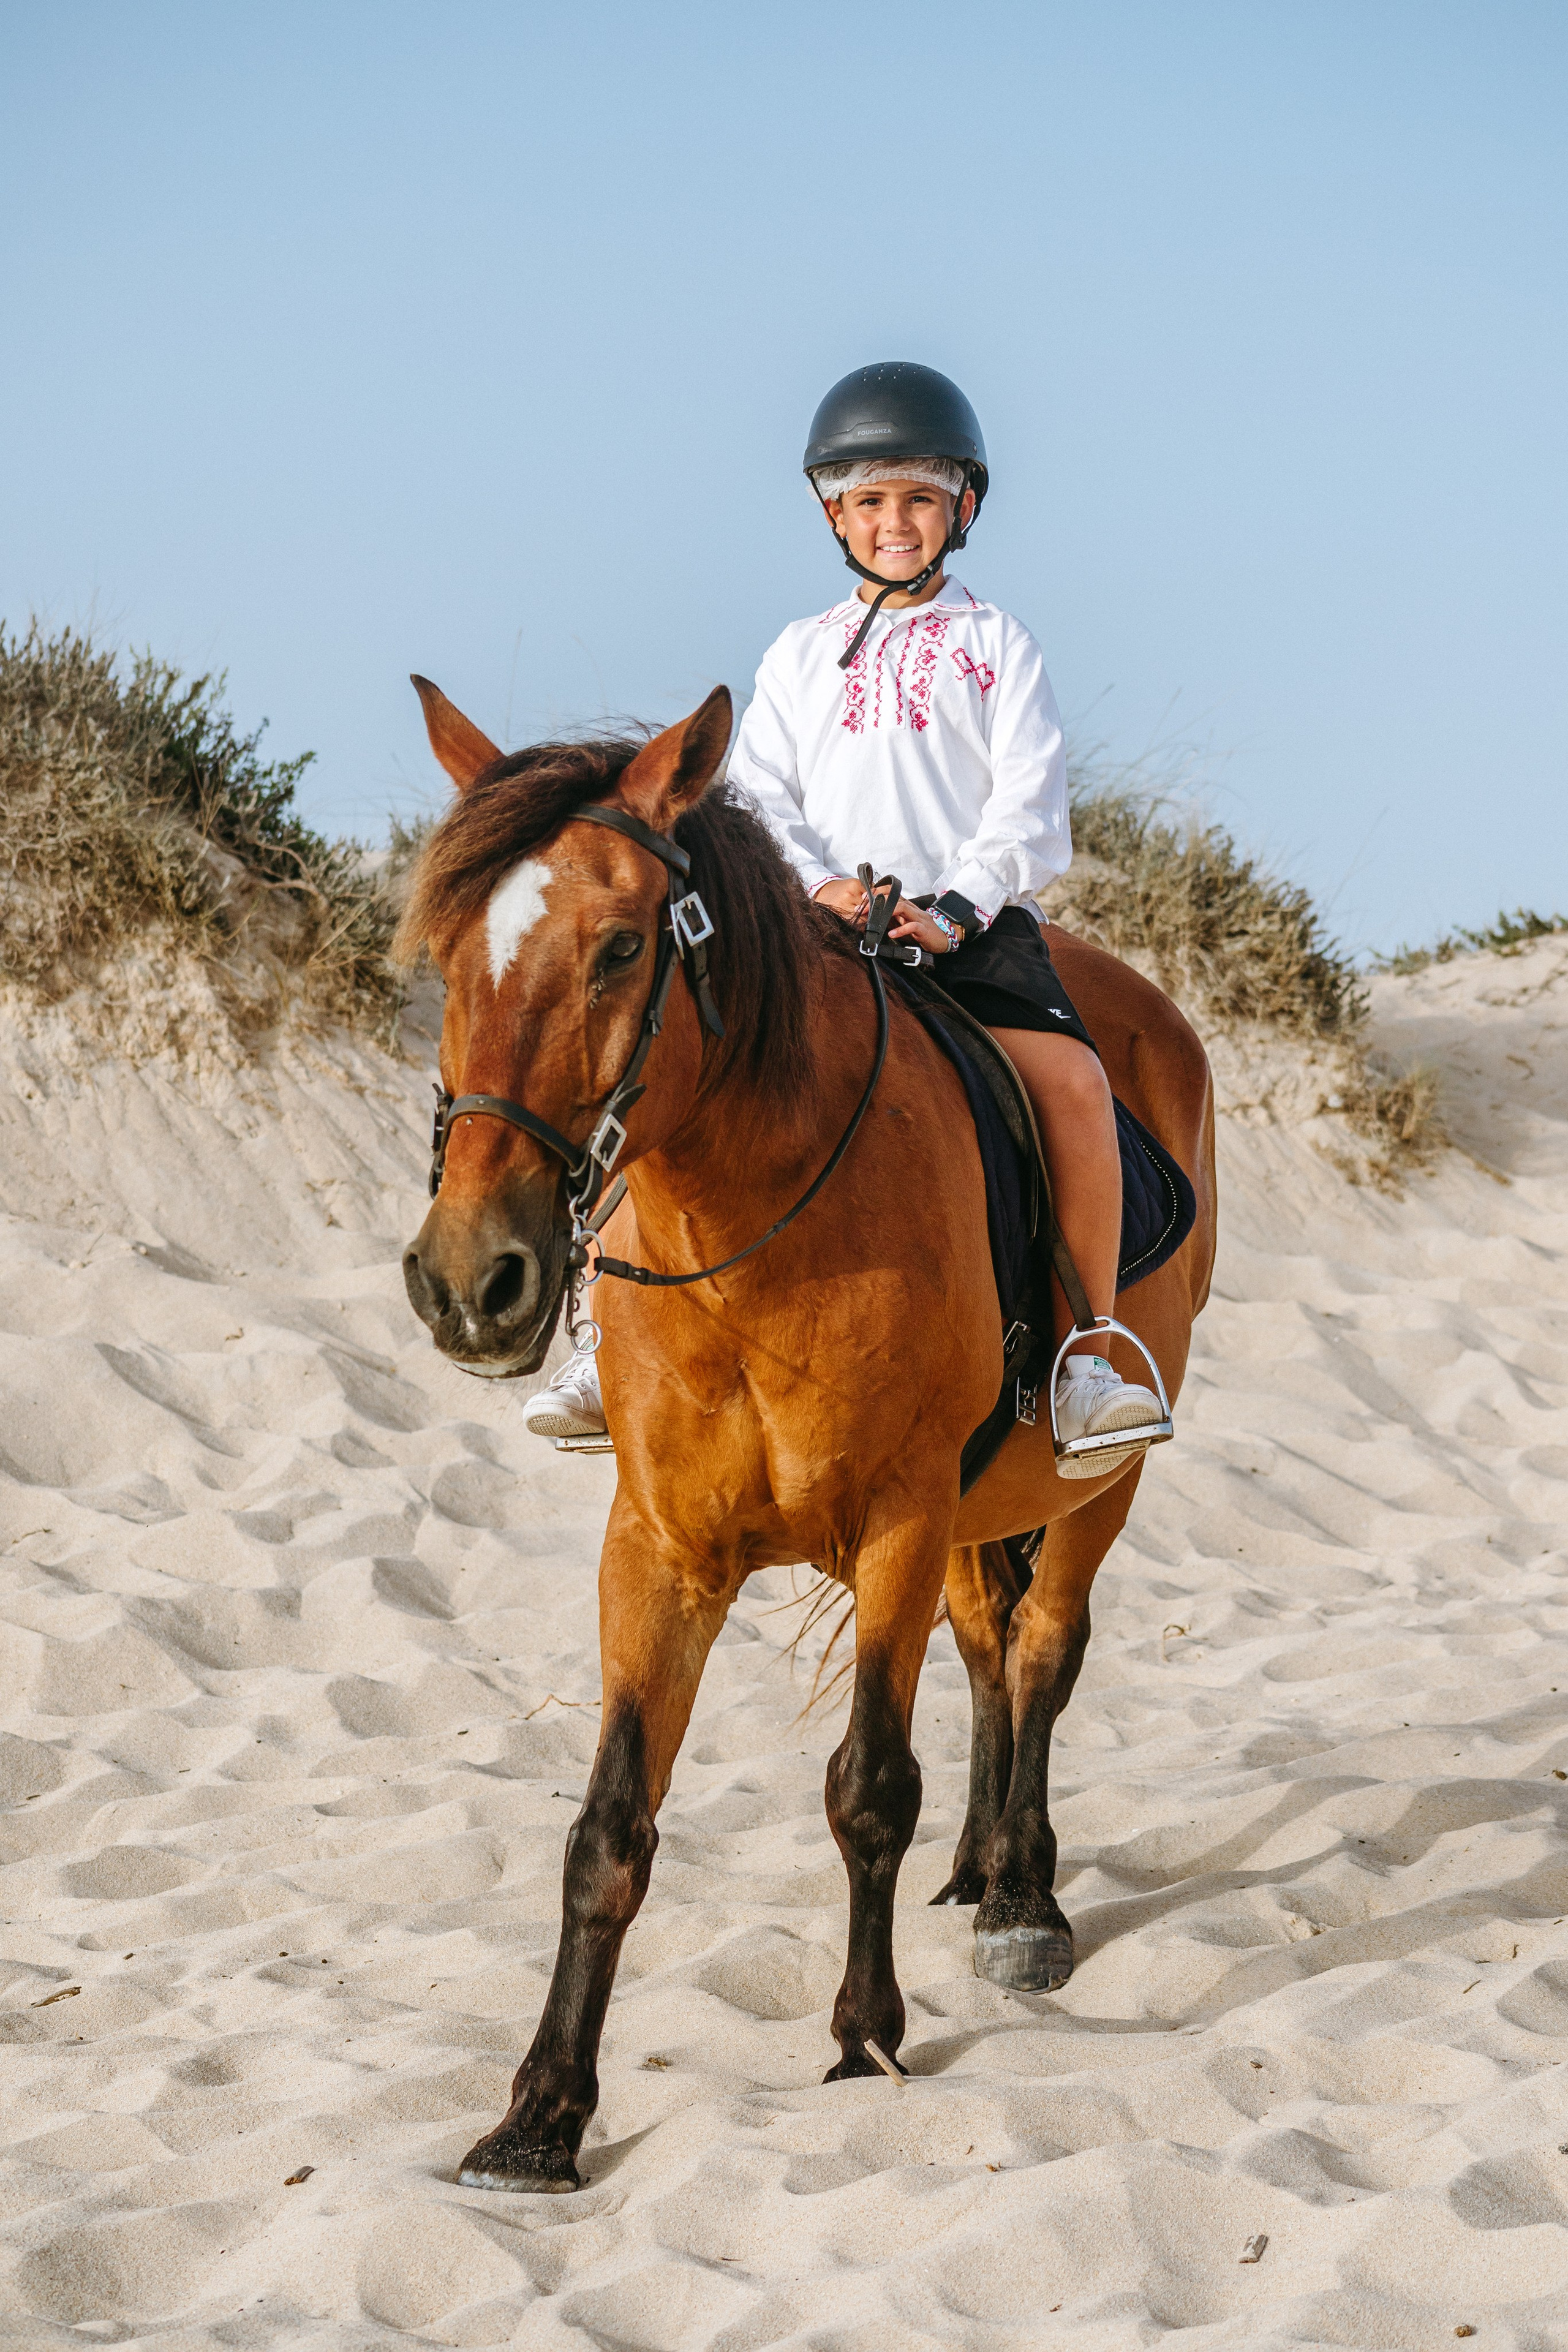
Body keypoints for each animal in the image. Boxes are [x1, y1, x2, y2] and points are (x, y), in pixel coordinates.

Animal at [398, 678, 1217, 2192]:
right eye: (444, 954)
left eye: (619, 948)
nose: (472, 1281)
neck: (750, 1239)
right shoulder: (659, 1551)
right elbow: (608, 1828)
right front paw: (538, 2116)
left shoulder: (895, 1521)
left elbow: (868, 1788)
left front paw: (864, 2036)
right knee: (990, 1647)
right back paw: (979, 1869)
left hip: (1091, 1488)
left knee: (1043, 1649)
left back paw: (1021, 1899)